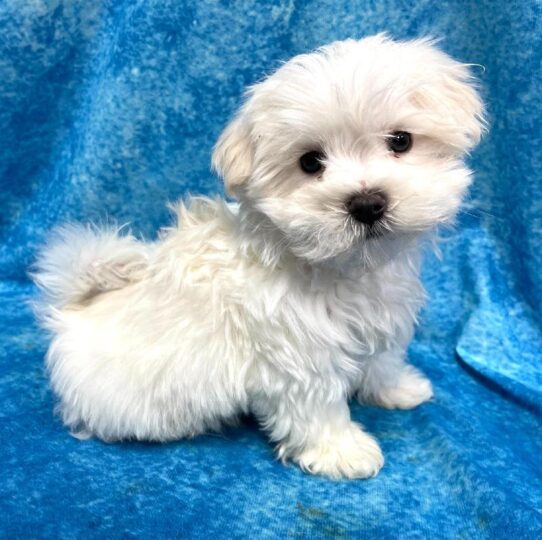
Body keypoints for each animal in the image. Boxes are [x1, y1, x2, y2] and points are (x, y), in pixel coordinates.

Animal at [34, 35, 486, 478]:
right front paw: (342, 451)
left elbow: (383, 358)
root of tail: (74, 311)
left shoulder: (381, 316)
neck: (340, 267)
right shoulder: (299, 356)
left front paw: (397, 388)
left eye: (401, 141)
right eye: (310, 162)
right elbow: (318, 406)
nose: (367, 203)